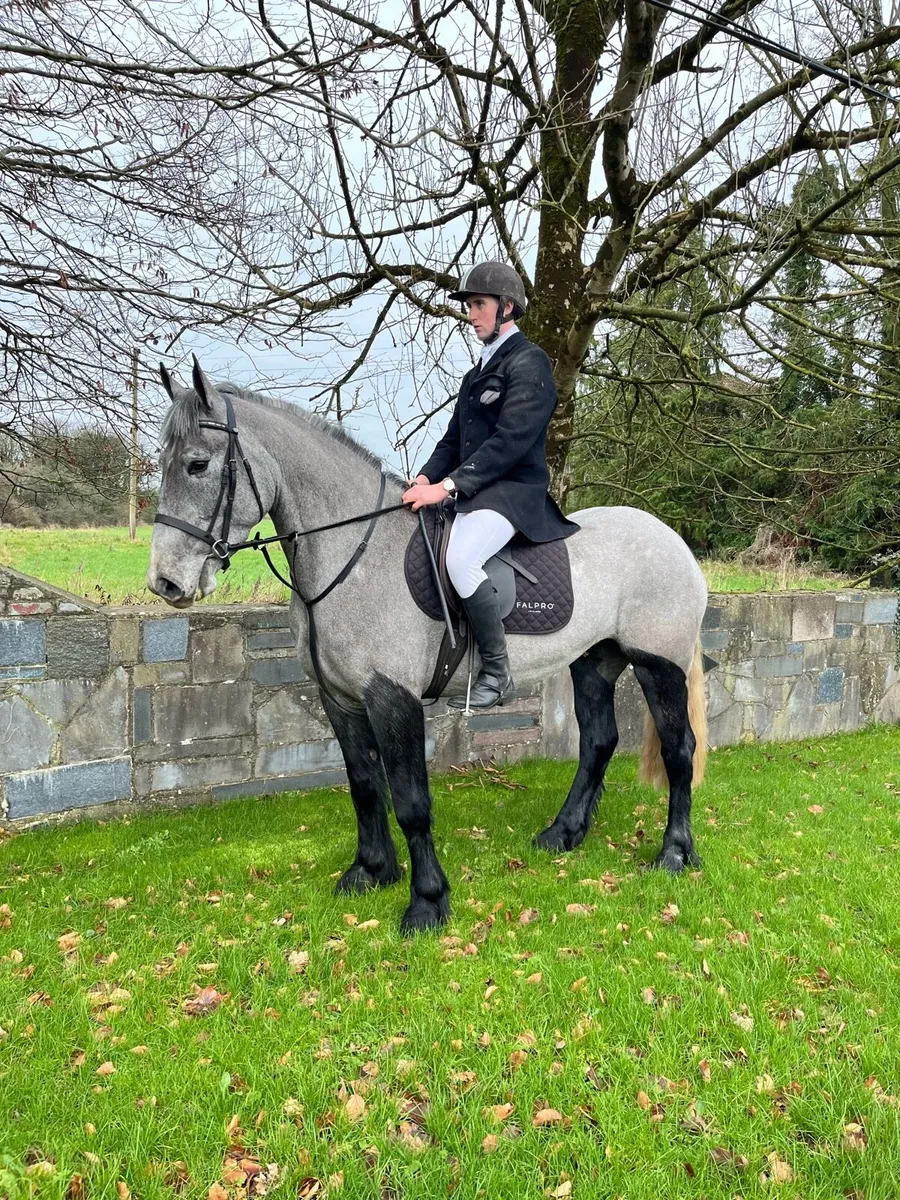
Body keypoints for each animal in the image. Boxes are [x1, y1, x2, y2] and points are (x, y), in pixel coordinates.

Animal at [148, 360, 708, 935]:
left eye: (197, 464)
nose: (165, 583)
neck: (354, 554)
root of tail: (672, 539)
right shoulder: (340, 698)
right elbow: (364, 784)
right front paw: (370, 872)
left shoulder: (392, 698)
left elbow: (411, 801)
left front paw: (427, 902)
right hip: (594, 663)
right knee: (598, 741)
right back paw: (563, 834)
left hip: (658, 665)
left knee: (678, 749)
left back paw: (675, 854)